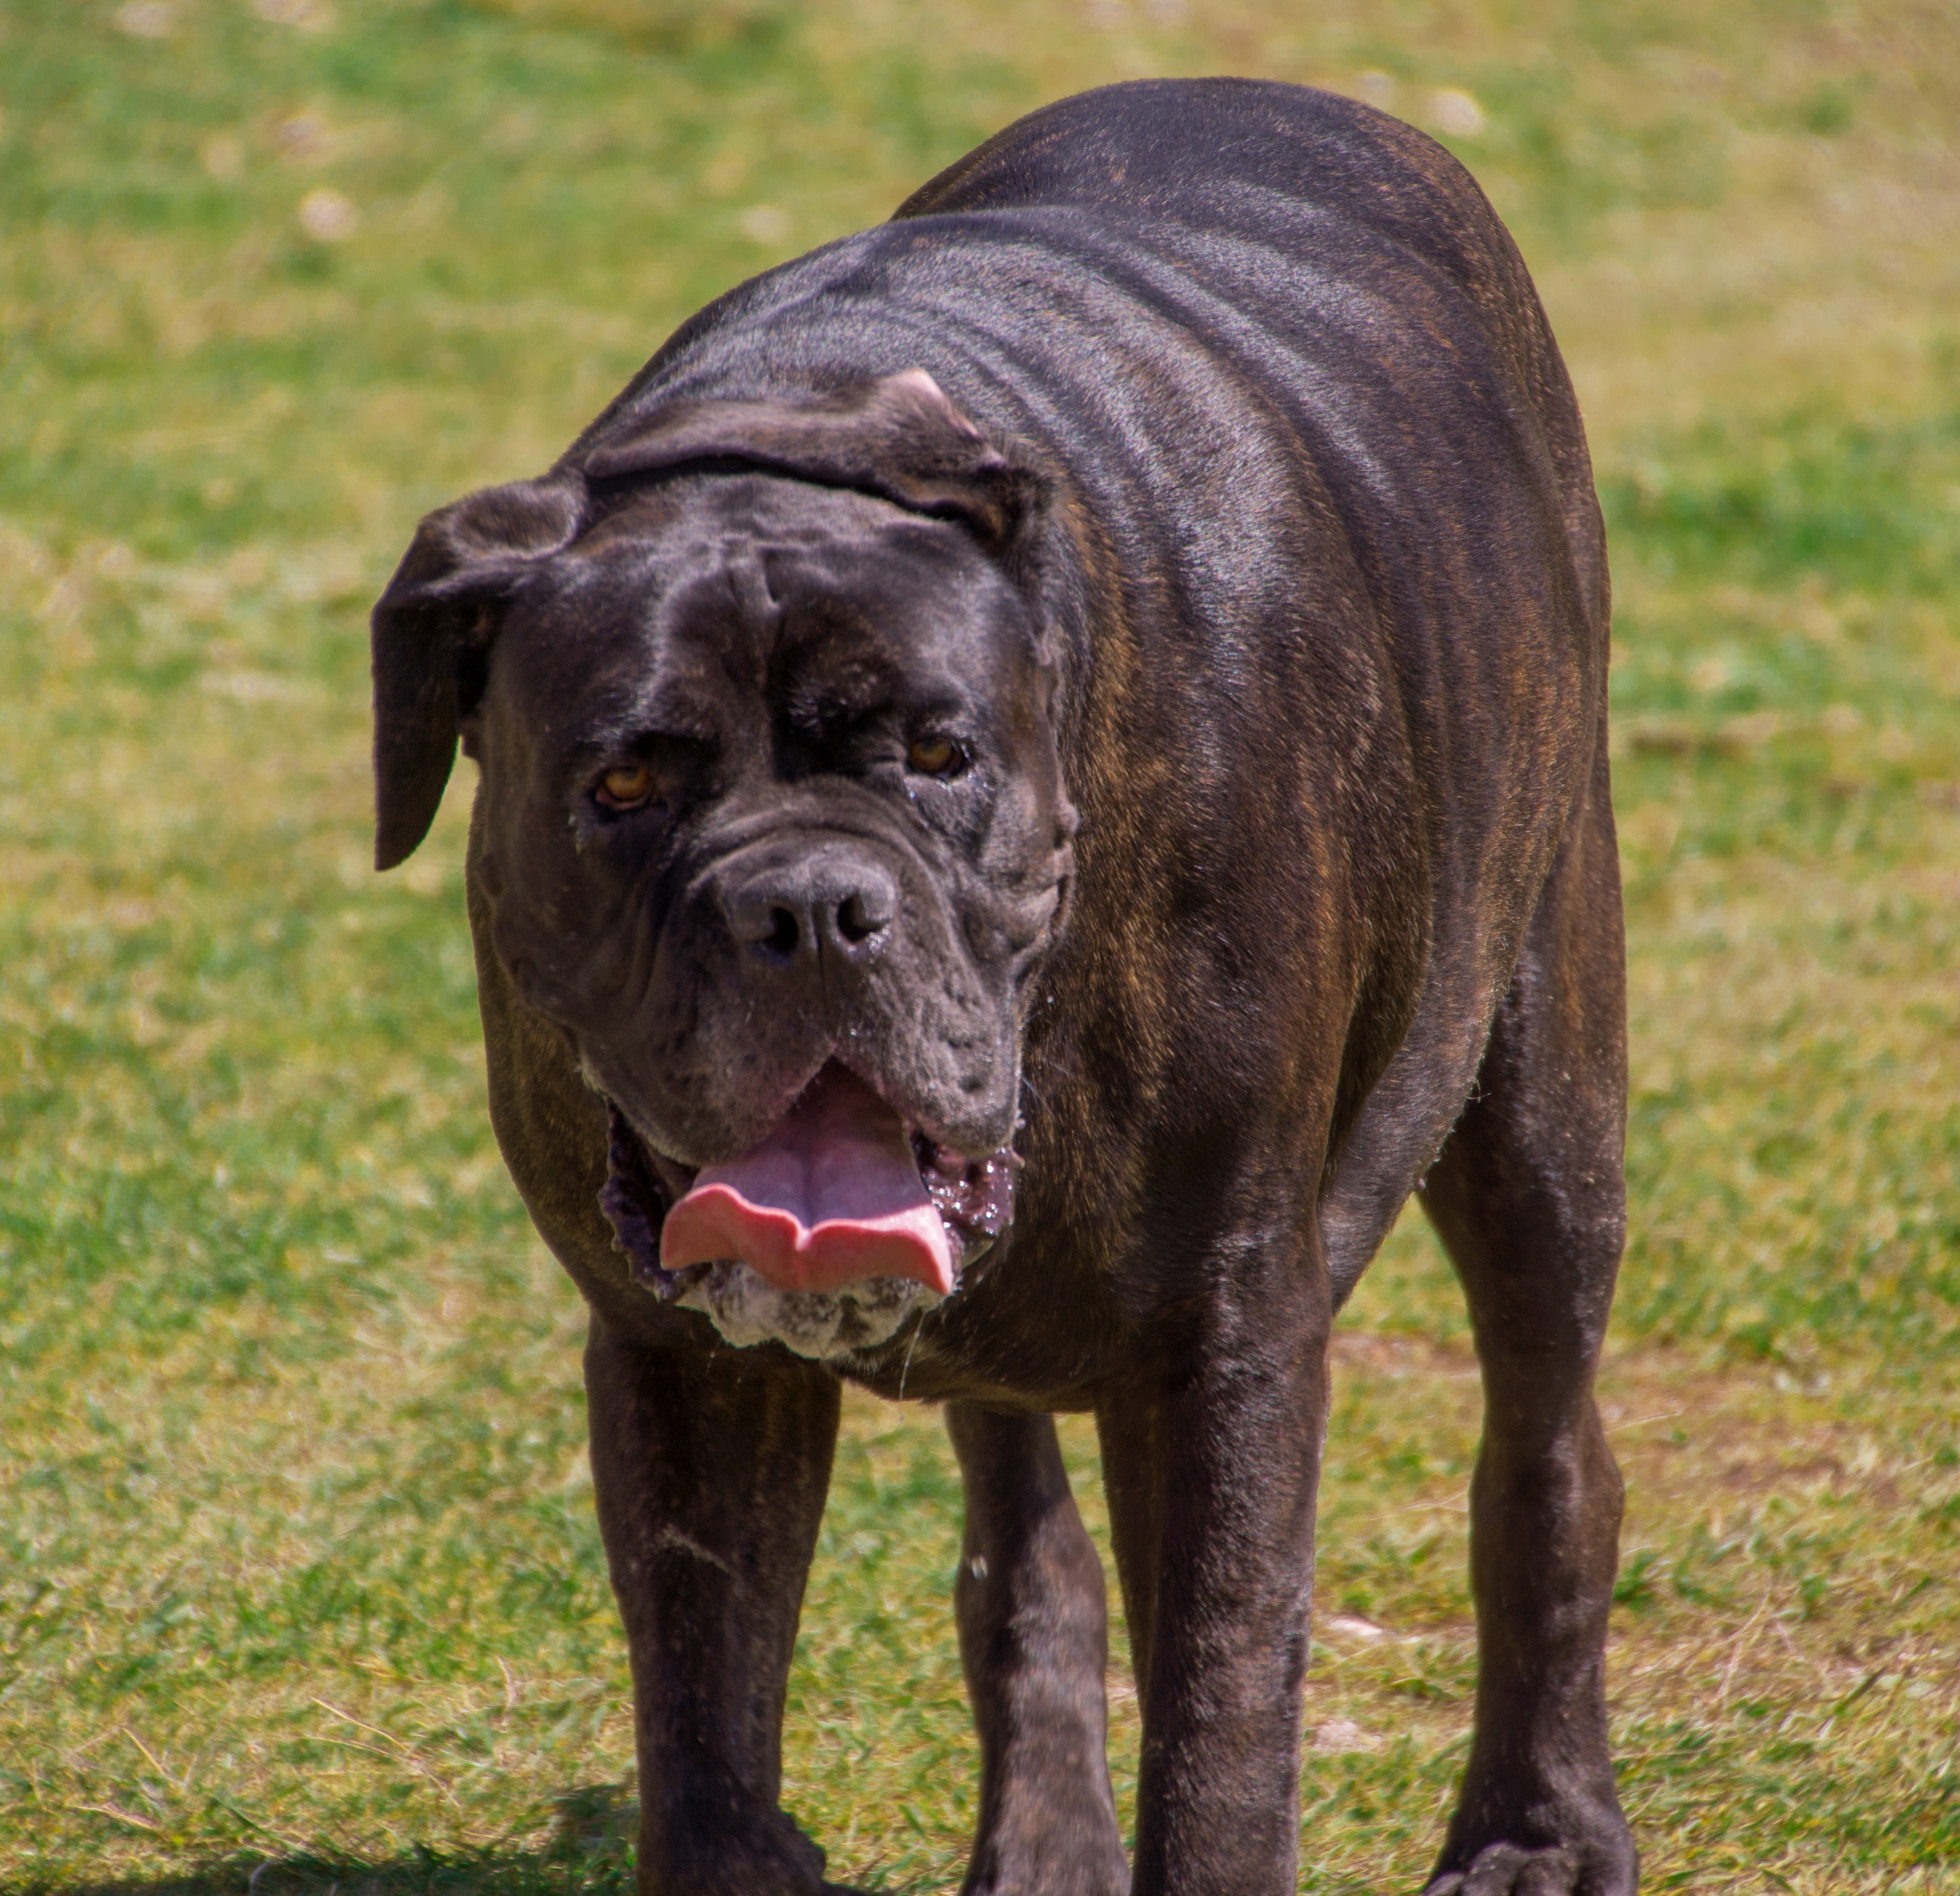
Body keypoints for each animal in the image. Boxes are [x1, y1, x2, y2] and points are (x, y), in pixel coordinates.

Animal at [370, 77, 1639, 1896]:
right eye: (620, 785)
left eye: (938, 754)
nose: (809, 906)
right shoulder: (679, 1361)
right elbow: (705, 1707)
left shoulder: (1228, 1353)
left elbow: (1222, 1728)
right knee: (1026, 1535)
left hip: (1538, 1088)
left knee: (1546, 1450)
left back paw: (1542, 1828)